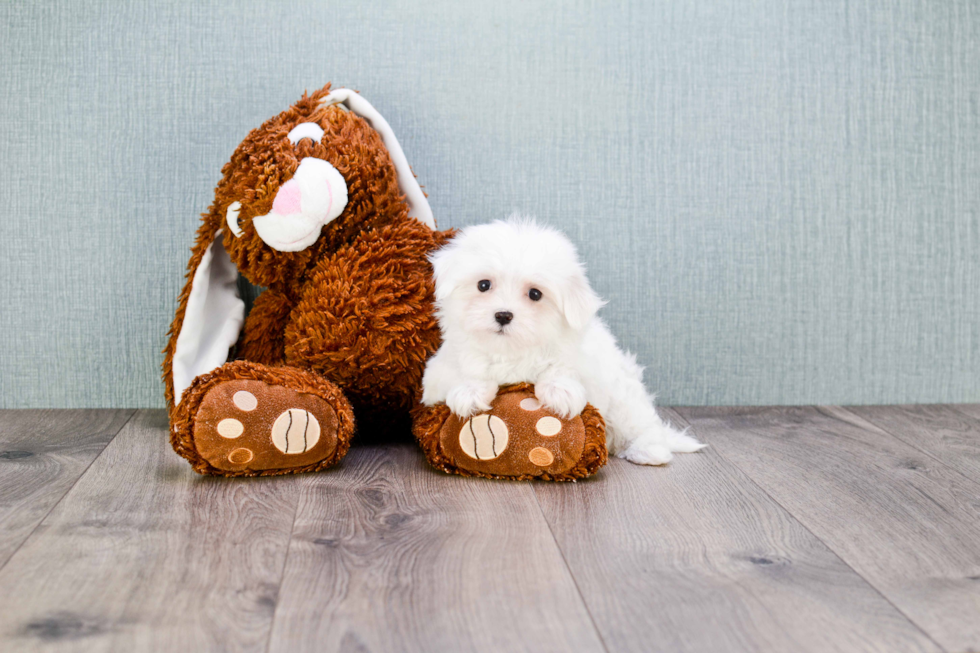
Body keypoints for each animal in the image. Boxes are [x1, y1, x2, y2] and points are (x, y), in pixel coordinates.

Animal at [422, 216, 704, 466]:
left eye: (535, 294)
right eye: (483, 285)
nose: (503, 315)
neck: (510, 351)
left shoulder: (589, 364)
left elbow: (563, 368)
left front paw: (560, 390)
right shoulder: (438, 374)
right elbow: (465, 371)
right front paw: (469, 391)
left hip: (625, 399)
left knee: (643, 425)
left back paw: (648, 451)